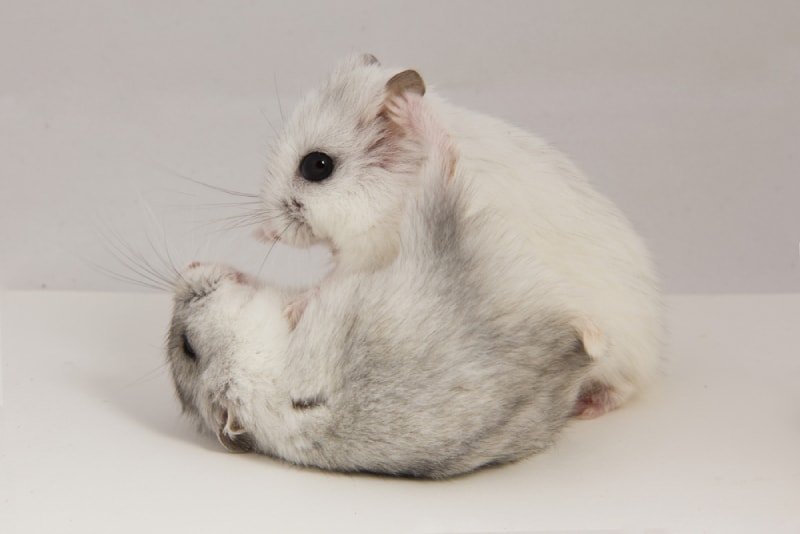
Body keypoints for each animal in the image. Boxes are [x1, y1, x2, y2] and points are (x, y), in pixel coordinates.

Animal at [257, 54, 663, 417]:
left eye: (317, 166)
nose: (270, 233)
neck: (399, 187)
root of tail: (654, 340)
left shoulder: (370, 252)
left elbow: (330, 282)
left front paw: (292, 307)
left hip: (617, 350)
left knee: (626, 385)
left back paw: (588, 407)